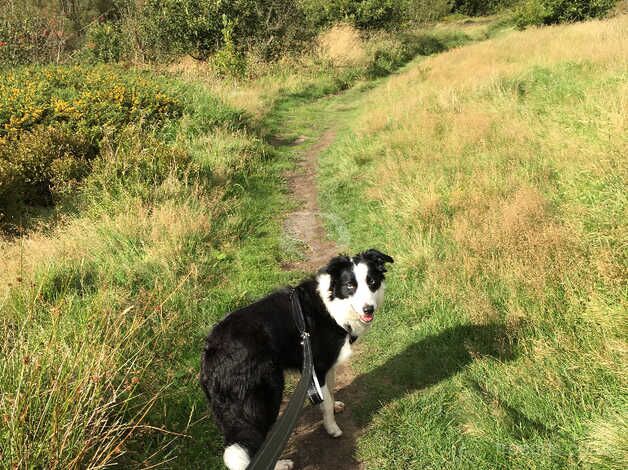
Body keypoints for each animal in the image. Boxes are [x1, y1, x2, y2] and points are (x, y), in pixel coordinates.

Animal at [199, 248, 392, 468]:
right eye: (350, 286)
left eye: (372, 282)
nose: (369, 309)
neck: (333, 305)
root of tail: (212, 353)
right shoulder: (317, 367)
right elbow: (325, 402)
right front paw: (332, 428)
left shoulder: (327, 366)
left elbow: (329, 393)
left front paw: (334, 407)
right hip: (264, 398)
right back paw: (280, 464)